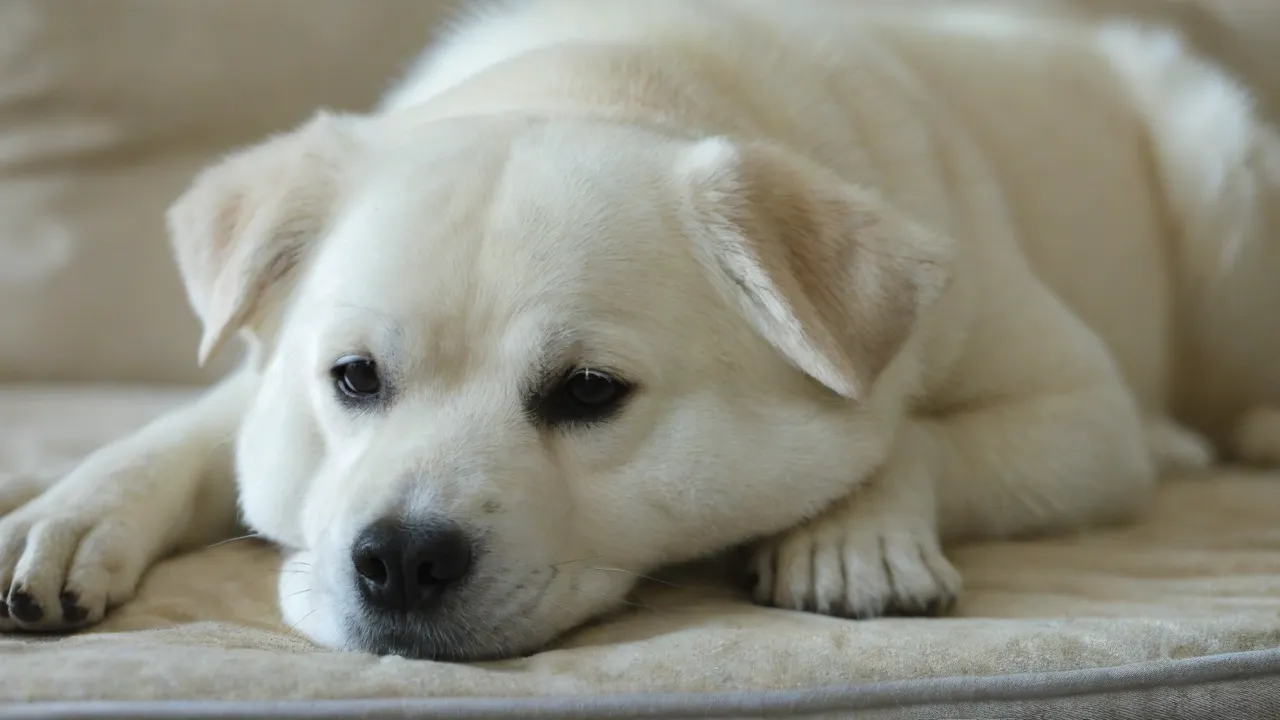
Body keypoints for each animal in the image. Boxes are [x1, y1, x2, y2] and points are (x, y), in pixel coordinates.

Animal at [2, 1, 1280, 661]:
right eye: (352, 378)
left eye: (584, 392)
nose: (398, 559)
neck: (607, 76)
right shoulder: (255, 382)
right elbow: (179, 439)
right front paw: (66, 517)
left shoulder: (1079, 413)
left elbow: (906, 433)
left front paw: (850, 534)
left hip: (1219, 178)